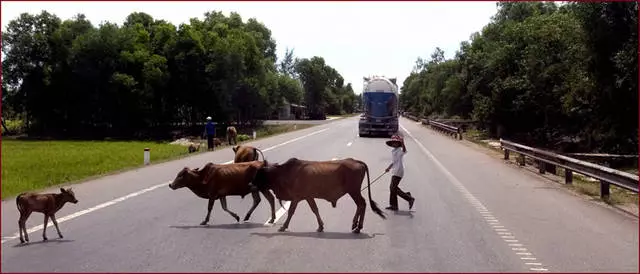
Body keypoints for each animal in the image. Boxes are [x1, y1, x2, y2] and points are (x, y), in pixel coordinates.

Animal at [251, 158, 384, 233]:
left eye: (259, 174)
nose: (250, 184)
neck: (284, 173)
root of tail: (356, 161)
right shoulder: (308, 197)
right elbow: (315, 209)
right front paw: (320, 226)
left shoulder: (296, 197)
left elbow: (291, 212)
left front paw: (283, 227)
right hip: (354, 191)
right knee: (361, 205)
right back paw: (355, 225)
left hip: (354, 191)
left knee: (362, 204)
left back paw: (358, 227)